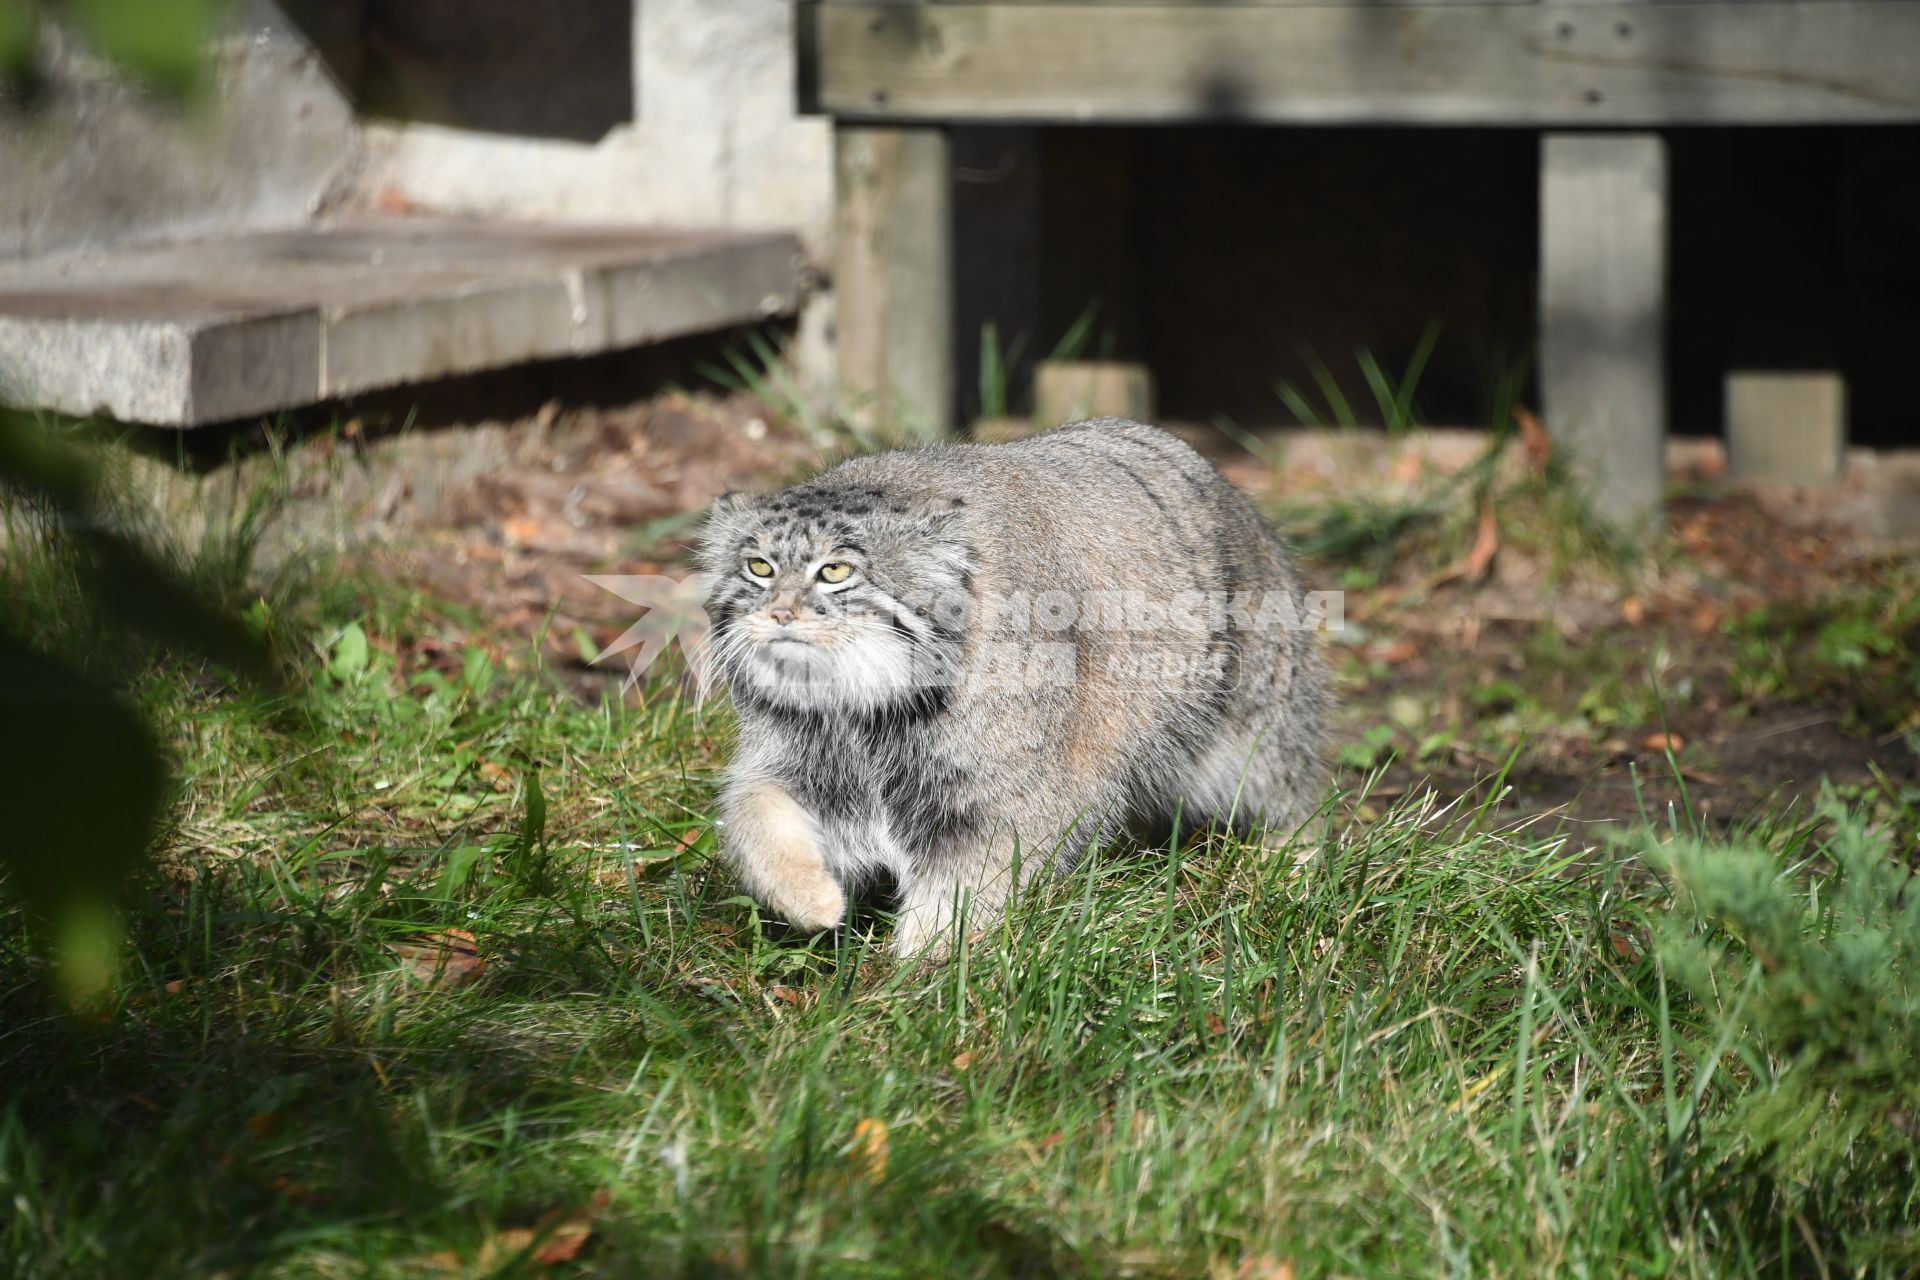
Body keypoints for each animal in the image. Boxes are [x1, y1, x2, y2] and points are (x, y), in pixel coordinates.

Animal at [698, 420, 1328, 951]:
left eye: (835, 571)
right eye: (758, 567)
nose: (778, 613)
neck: (858, 712)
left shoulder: (1004, 802)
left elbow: (960, 899)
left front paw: (916, 985)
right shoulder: (797, 761)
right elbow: (753, 815)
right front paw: (812, 900)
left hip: (1257, 730)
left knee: (1295, 795)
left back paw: (1295, 862)